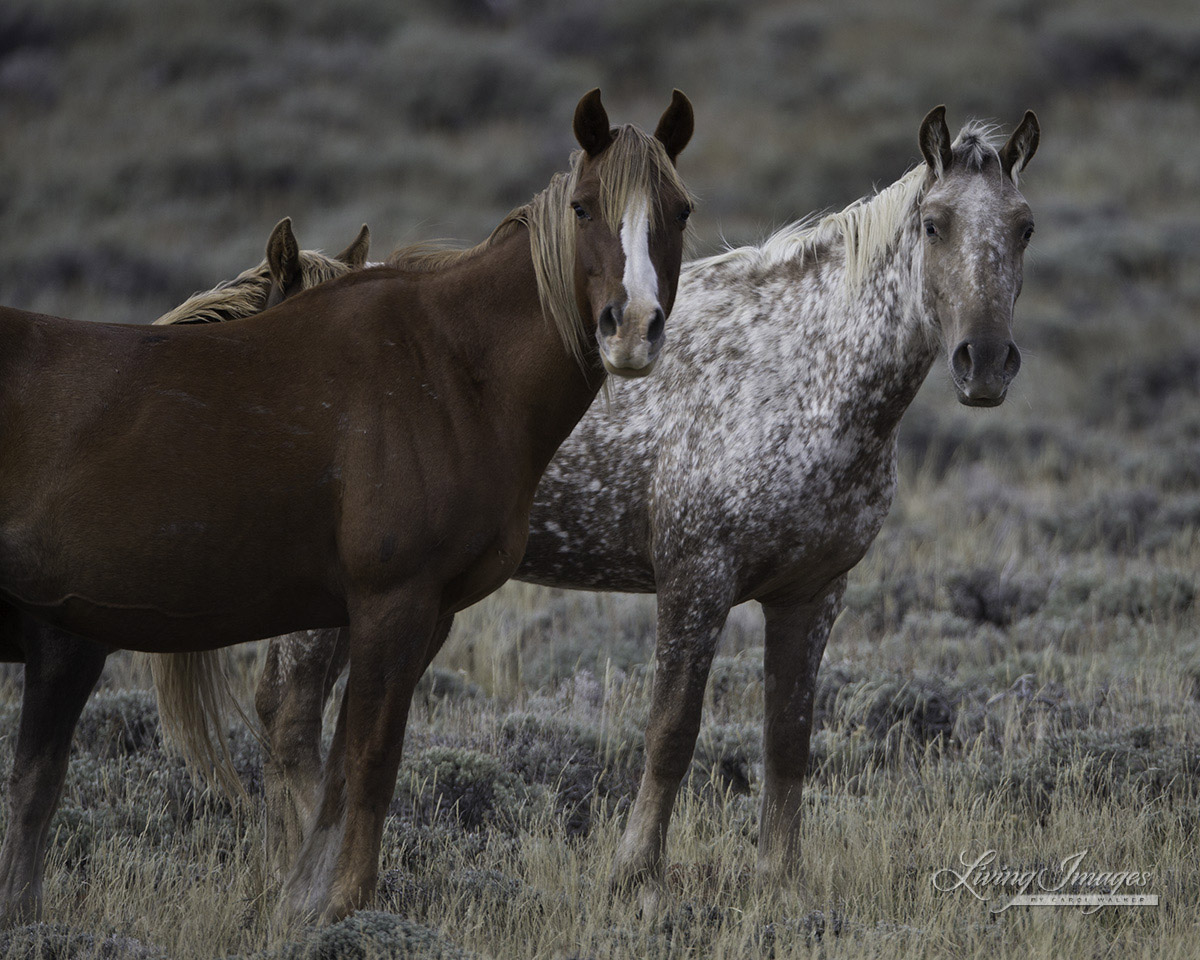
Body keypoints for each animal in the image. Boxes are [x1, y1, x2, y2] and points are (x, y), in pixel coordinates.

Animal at [248, 105, 1036, 902]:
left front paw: (780, 878)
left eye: (1024, 226)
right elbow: (671, 731)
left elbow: (788, 738)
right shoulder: (696, 579)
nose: (985, 362)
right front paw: (636, 872)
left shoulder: (812, 594)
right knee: (290, 715)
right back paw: (306, 874)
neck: (799, 373)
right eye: (934, 224)